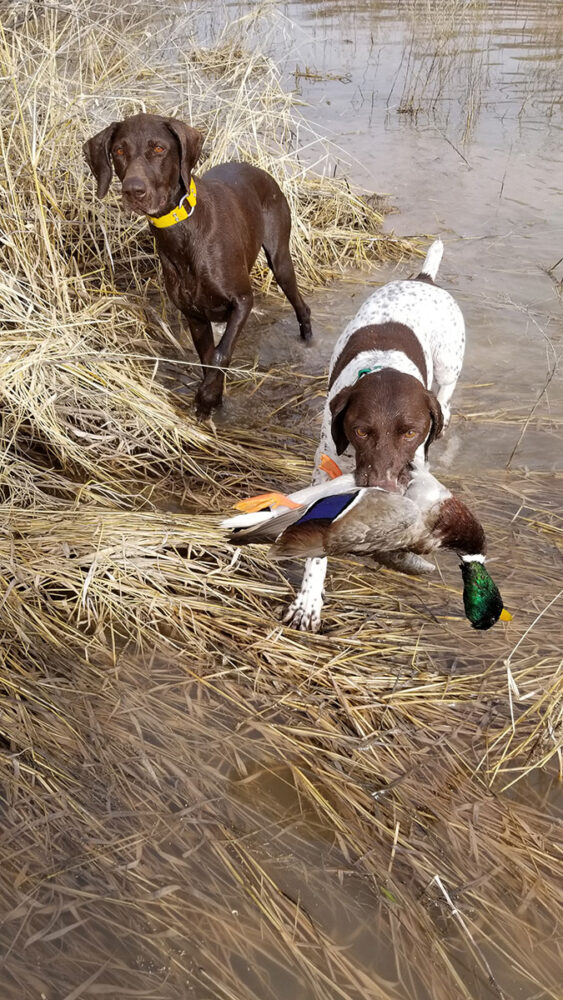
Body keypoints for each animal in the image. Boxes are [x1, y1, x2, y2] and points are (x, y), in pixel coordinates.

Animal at [85, 113, 312, 414]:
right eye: (119, 151)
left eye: (159, 149)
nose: (133, 191)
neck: (182, 232)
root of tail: (258, 170)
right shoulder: (195, 316)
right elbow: (207, 358)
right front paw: (213, 399)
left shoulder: (243, 301)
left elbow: (220, 354)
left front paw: (206, 396)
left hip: (280, 260)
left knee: (301, 305)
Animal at [286, 241, 468, 628]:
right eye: (360, 430)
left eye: (411, 432)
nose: (383, 486)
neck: (385, 366)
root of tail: (424, 279)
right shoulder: (327, 469)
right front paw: (308, 601)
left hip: (448, 367)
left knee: (446, 398)